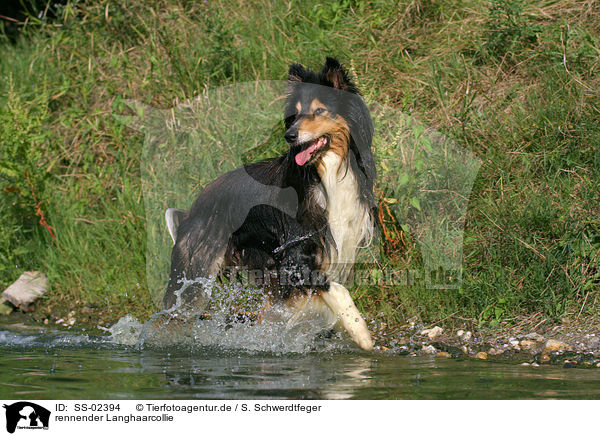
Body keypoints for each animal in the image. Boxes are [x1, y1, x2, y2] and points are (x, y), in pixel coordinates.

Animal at [164, 58, 376, 350]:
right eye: (295, 115)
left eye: (319, 110)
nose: (290, 135)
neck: (325, 172)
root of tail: (195, 206)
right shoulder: (296, 258)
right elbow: (337, 290)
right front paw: (362, 335)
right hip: (194, 273)